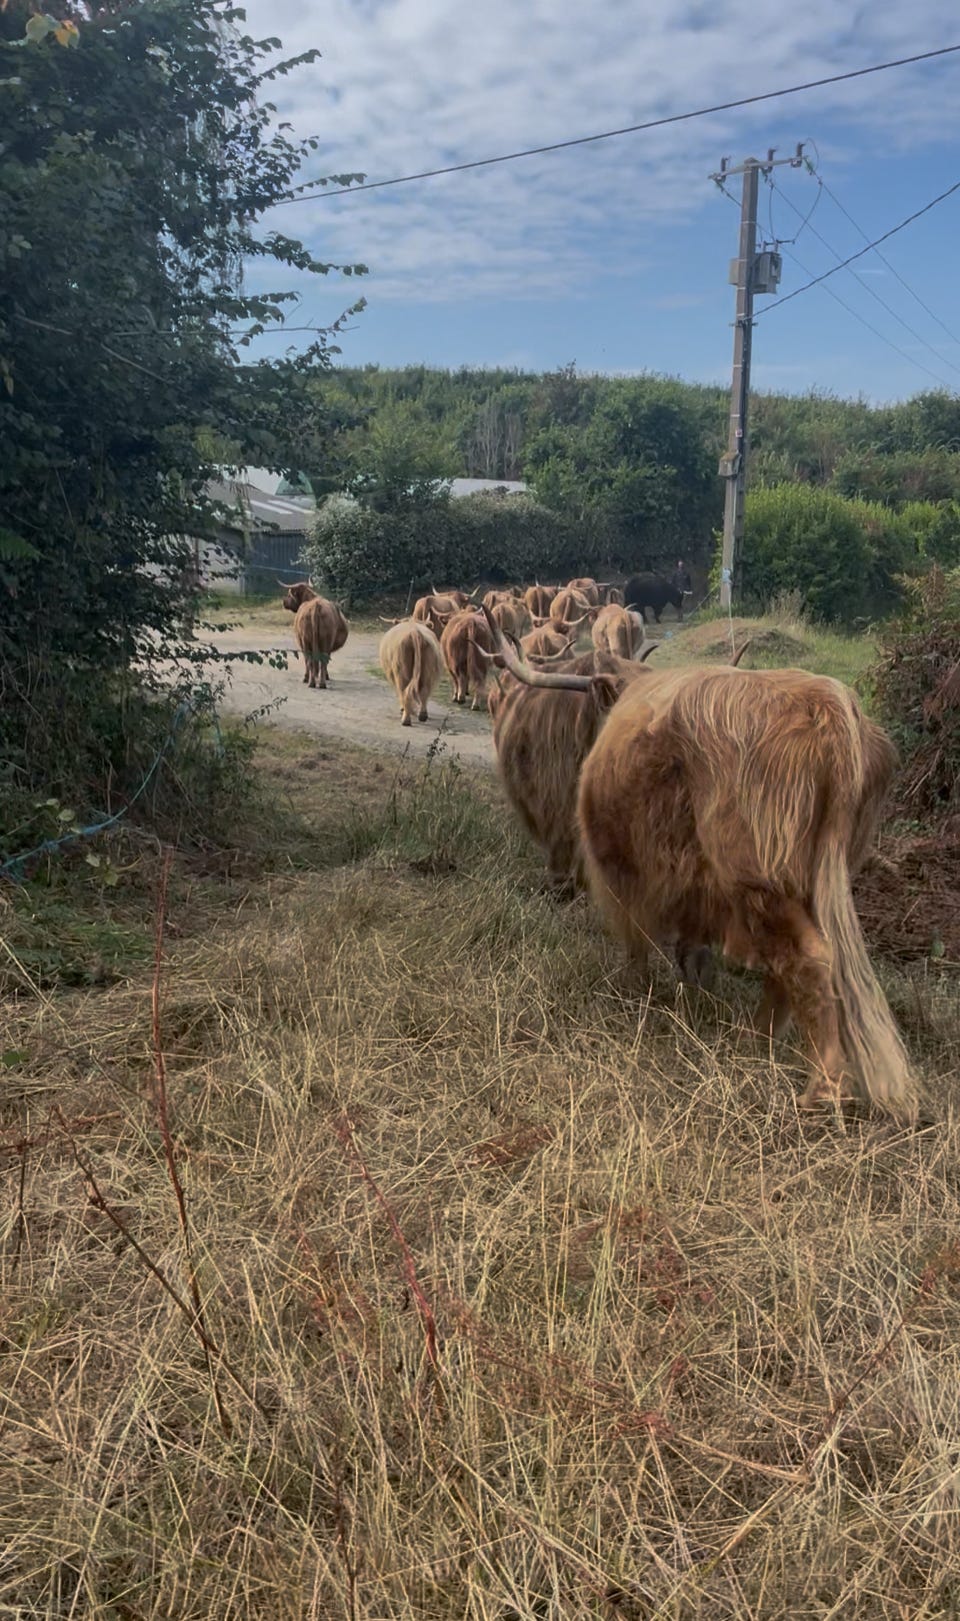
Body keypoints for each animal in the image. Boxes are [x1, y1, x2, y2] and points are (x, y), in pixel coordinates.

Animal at [490, 624, 915, 1119]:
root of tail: (829, 704)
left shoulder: (622, 870)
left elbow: (637, 940)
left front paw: (633, 993)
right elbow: (691, 946)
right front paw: (694, 989)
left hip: (757, 875)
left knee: (807, 958)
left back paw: (819, 1087)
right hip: (821, 871)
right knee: (789, 966)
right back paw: (754, 1042)